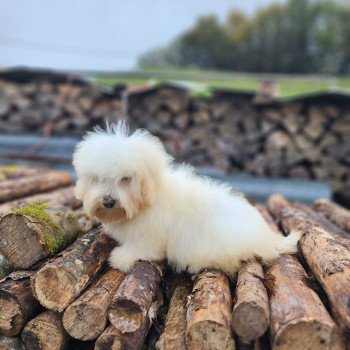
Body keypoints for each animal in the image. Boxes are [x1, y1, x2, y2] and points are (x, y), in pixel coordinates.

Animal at [72, 121, 300, 274]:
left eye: (125, 179)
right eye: (99, 178)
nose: (108, 201)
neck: (148, 199)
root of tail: (267, 238)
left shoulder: (148, 237)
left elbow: (140, 249)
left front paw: (120, 258)